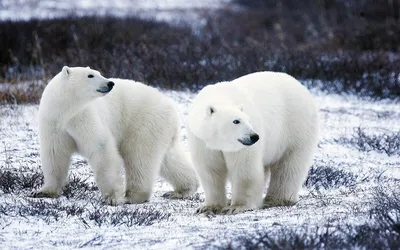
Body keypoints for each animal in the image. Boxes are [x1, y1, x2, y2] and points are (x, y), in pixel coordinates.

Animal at [33, 66, 199, 205]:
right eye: (90, 75)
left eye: (98, 72)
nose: (110, 83)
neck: (65, 110)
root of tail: (172, 107)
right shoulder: (53, 123)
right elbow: (55, 154)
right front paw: (44, 192)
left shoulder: (84, 117)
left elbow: (101, 147)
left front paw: (112, 198)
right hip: (160, 129)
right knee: (169, 159)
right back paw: (182, 190)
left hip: (143, 122)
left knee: (139, 157)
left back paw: (133, 196)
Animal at [187, 71, 318, 214]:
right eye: (236, 121)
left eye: (249, 120)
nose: (254, 136)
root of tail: (300, 85)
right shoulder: (202, 141)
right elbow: (210, 170)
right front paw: (209, 207)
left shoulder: (242, 147)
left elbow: (245, 169)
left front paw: (236, 207)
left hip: (296, 127)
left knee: (289, 166)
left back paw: (276, 199)